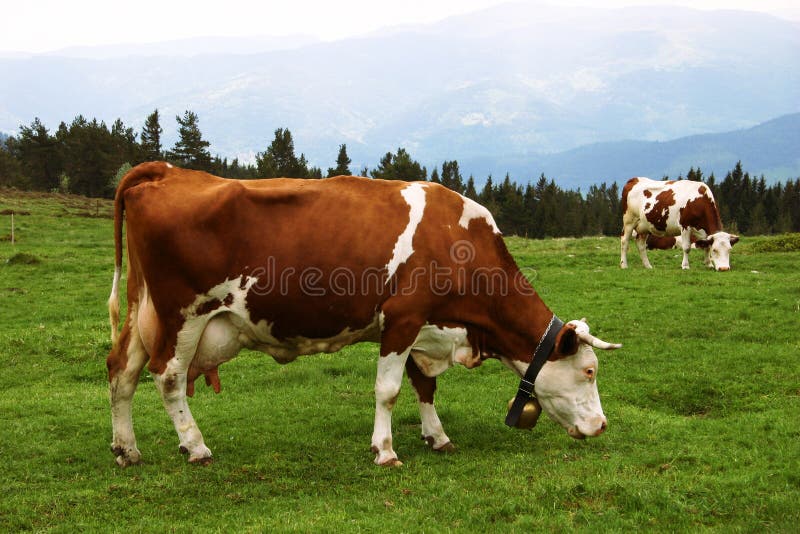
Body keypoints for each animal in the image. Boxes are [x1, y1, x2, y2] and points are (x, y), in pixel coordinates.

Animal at [104, 163, 620, 468]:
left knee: (120, 371)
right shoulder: (403, 319)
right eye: (589, 371)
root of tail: (166, 170)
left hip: (143, 311)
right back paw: (195, 446)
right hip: (182, 315)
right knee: (167, 376)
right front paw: (386, 451)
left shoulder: (424, 326)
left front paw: (437, 436)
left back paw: (127, 449)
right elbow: (389, 390)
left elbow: (424, 386)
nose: (601, 426)